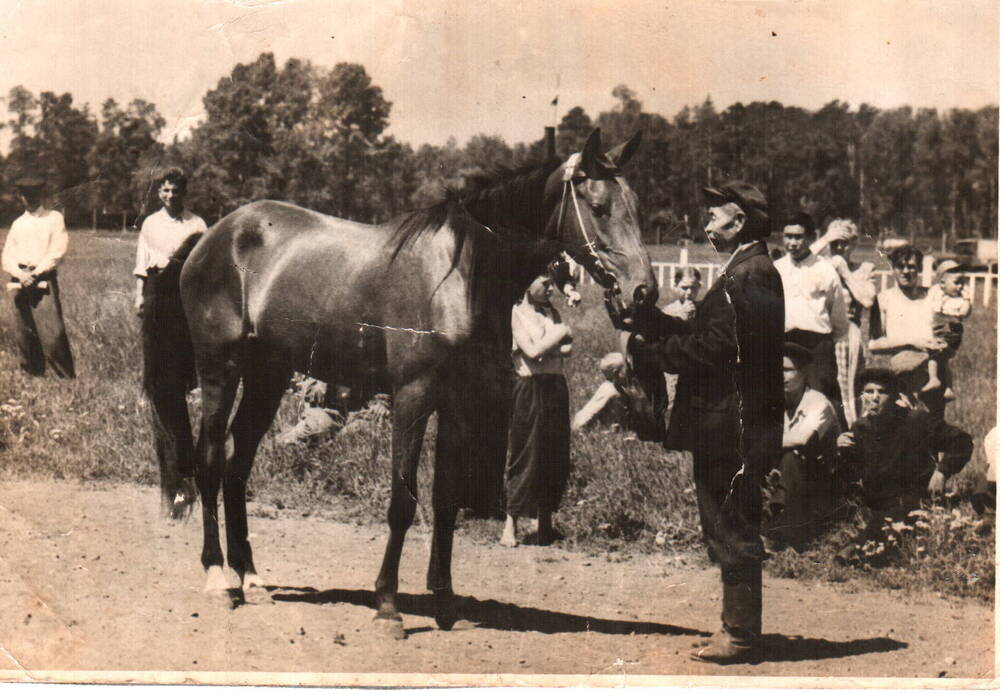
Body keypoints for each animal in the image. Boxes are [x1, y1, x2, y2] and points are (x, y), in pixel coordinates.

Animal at [160, 128, 660, 640]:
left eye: (637, 206)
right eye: (598, 206)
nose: (643, 293)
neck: (459, 272)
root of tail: (214, 236)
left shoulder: (458, 403)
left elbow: (445, 501)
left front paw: (444, 600)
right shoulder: (413, 397)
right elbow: (403, 500)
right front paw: (388, 606)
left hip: (268, 376)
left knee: (237, 464)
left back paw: (251, 576)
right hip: (220, 369)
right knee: (210, 461)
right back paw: (219, 578)